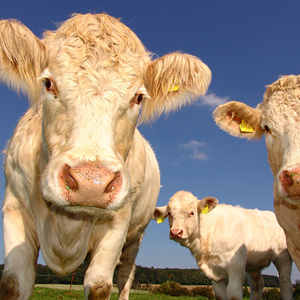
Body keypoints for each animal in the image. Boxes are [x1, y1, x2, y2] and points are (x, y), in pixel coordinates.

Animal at [0, 13, 212, 300]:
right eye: (48, 83)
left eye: (138, 97)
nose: (91, 183)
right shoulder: (14, 209)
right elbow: (13, 283)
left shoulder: (118, 225)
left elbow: (100, 286)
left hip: (135, 237)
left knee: (125, 276)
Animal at [152, 190, 292, 300]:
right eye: (169, 214)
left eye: (192, 212)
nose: (176, 232)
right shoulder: (214, 272)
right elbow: (219, 296)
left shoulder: (236, 264)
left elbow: (234, 295)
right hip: (254, 264)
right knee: (257, 285)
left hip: (283, 256)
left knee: (285, 284)